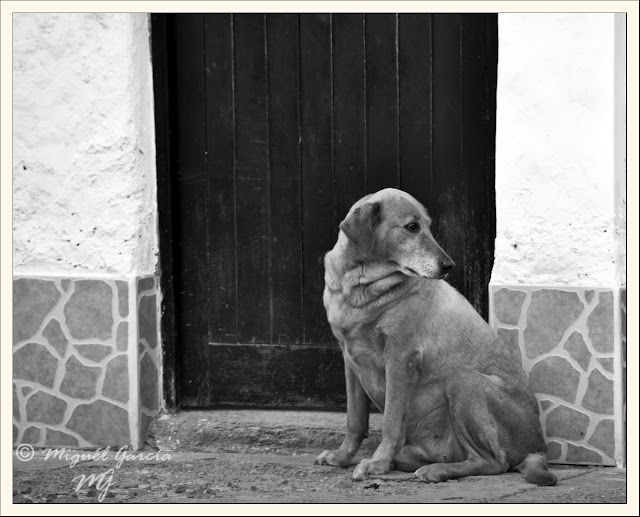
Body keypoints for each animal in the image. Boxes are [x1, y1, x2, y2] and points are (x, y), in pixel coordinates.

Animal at [316, 188, 556, 484]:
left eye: (429, 227)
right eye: (411, 227)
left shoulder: (400, 360)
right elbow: (354, 420)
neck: (359, 285)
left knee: (493, 462)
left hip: (463, 381)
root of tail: (537, 449)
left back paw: (435, 470)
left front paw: (377, 463)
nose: (449, 265)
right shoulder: (350, 360)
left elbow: (391, 423)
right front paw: (342, 457)